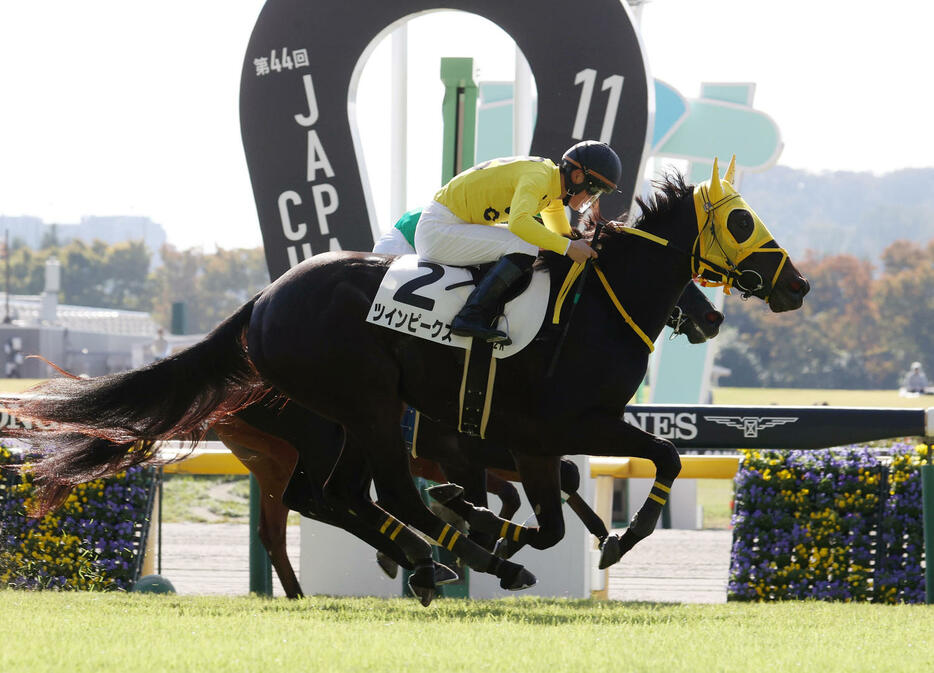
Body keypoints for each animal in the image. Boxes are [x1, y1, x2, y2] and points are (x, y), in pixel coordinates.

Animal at [1, 158, 804, 604]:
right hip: (366, 407)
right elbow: (656, 459)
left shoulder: (533, 441)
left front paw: (554, 535)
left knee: (339, 497)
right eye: (741, 220)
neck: (595, 309)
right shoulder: (556, 426)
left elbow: (554, 514)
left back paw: (430, 559)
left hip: (354, 418)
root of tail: (262, 300)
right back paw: (446, 557)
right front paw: (615, 538)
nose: (794, 285)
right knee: (372, 494)